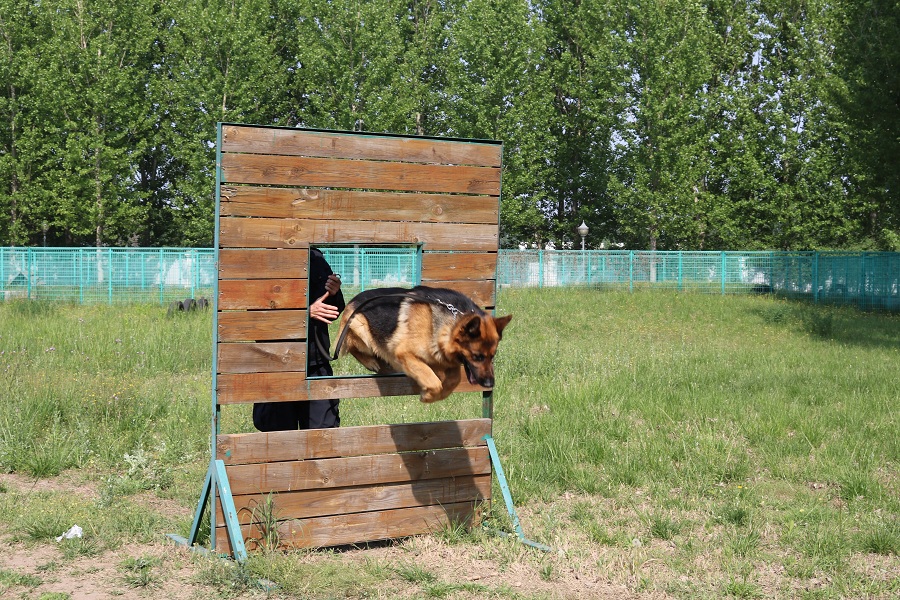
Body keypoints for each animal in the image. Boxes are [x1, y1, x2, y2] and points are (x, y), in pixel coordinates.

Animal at [336, 286, 510, 404]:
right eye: (477, 356)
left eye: (492, 356)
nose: (490, 384)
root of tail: (353, 300)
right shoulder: (405, 354)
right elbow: (433, 381)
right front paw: (428, 396)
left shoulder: (441, 359)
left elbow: (453, 380)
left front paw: (440, 394)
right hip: (360, 329)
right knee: (351, 347)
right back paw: (371, 362)